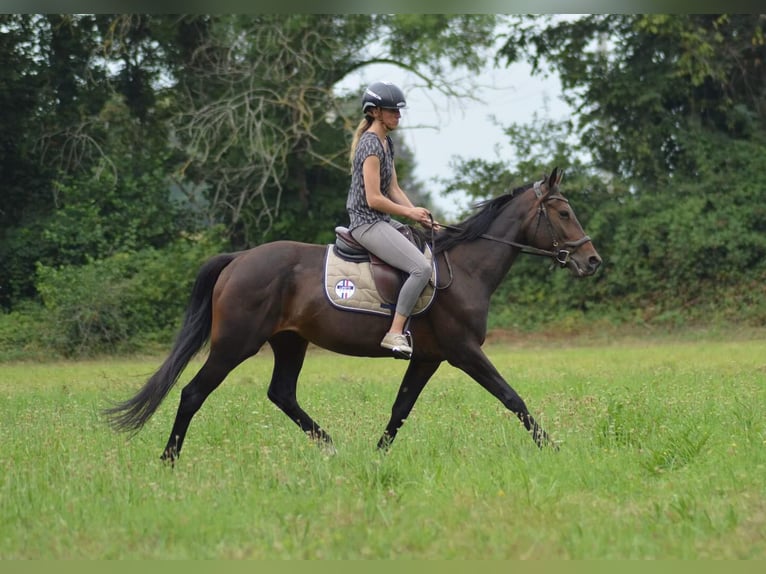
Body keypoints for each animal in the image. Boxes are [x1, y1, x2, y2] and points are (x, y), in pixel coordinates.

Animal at [105, 168, 604, 464]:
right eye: (564, 212)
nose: (592, 261)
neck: (464, 270)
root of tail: (239, 259)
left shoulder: (428, 358)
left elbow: (400, 408)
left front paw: (376, 457)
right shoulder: (463, 352)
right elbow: (512, 397)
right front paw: (554, 447)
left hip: (290, 341)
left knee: (282, 393)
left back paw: (333, 448)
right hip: (235, 344)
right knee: (193, 393)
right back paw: (169, 461)